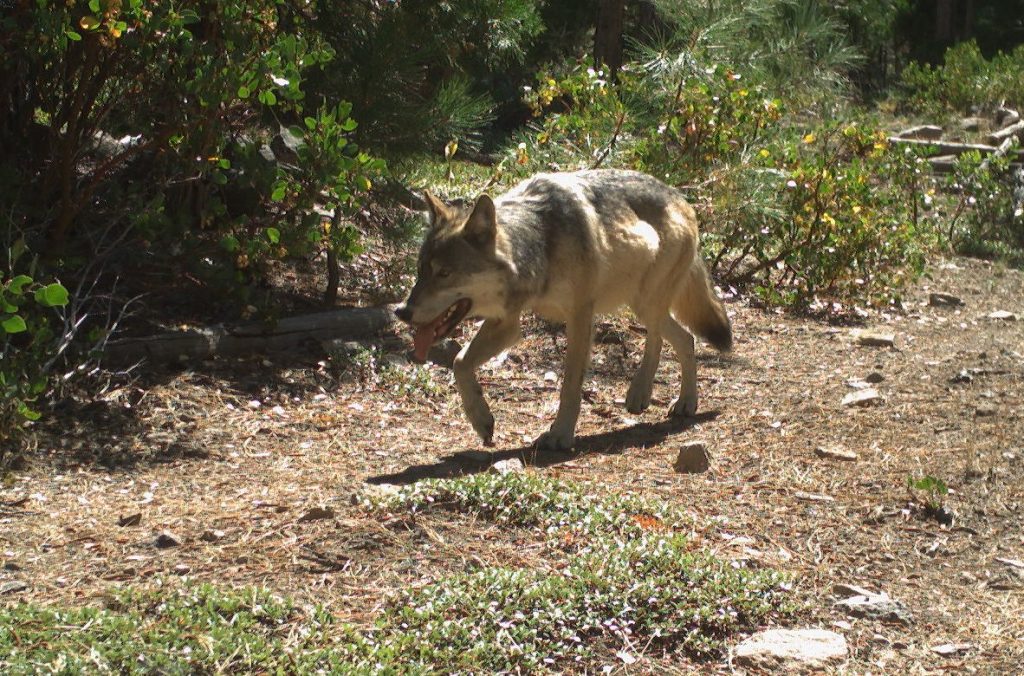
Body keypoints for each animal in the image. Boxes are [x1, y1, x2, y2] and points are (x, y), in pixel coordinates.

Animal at [395, 169, 732, 451]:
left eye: (444, 274)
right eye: (421, 271)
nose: (401, 311)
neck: (540, 242)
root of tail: (682, 198)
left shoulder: (581, 315)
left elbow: (570, 384)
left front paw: (560, 434)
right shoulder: (507, 323)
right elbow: (460, 362)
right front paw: (481, 420)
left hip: (646, 302)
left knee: (666, 338)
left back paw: (655, 395)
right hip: (641, 305)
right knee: (684, 338)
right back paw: (672, 400)